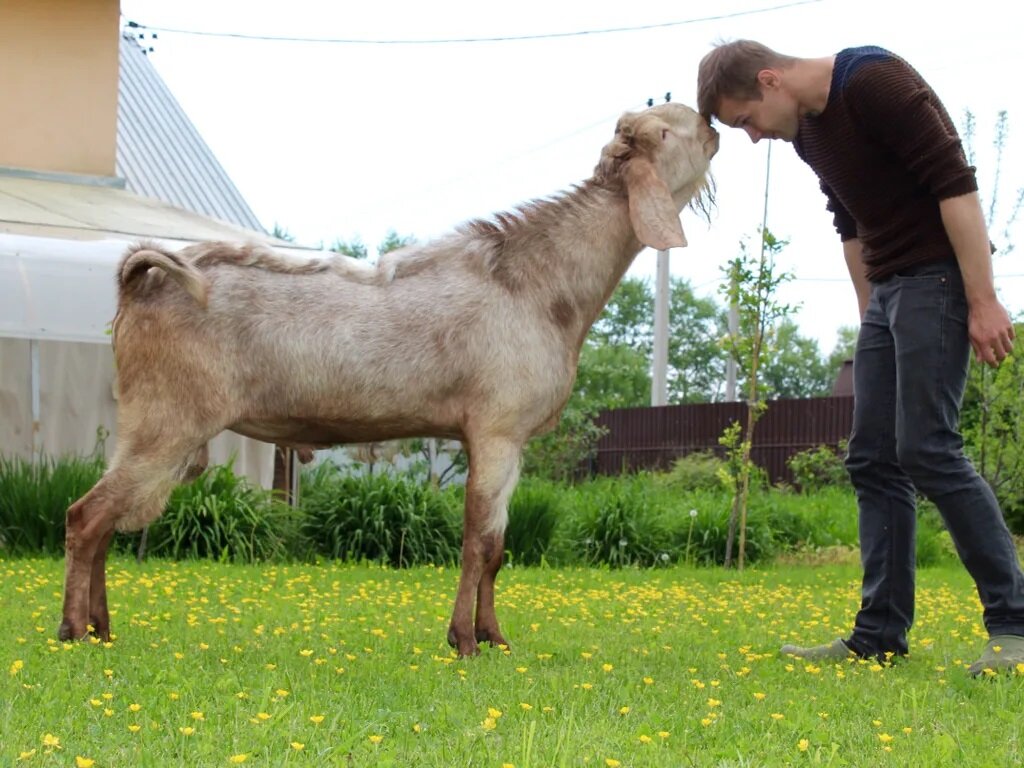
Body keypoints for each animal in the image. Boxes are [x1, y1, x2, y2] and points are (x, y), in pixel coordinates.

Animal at [59, 100, 720, 655]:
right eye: (667, 129)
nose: (712, 129)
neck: (539, 283)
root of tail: (142, 280)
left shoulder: (512, 441)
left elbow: (499, 549)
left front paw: (496, 638)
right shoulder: (496, 429)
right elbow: (478, 542)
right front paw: (464, 642)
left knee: (106, 521)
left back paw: (101, 628)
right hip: (165, 421)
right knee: (86, 516)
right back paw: (72, 631)